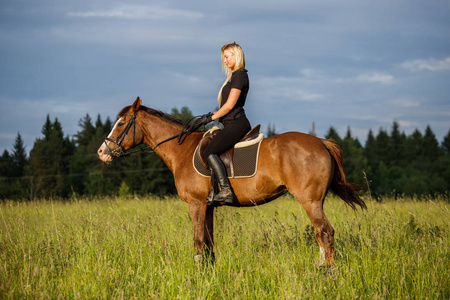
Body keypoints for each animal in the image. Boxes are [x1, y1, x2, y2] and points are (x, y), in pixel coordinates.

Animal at [96, 97, 364, 266]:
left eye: (121, 123)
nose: (102, 152)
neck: (181, 150)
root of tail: (321, 142)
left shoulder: (196, 204)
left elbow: (198, 242)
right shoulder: (208, 206)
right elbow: (209, 244)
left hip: (310, 201)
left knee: (325, 233)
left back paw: (327, 271)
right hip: (314, 201)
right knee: (321, 234)